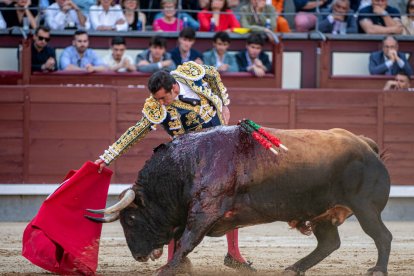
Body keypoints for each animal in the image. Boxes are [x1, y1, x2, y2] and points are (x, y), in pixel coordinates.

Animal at [86, 125, 392, 276]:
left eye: (131, 218)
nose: (138, 256)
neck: (186, 165)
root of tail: (366, 146)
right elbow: (181, 239)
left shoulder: (204, 211)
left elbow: (186, 240)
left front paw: (166, 270)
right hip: (321, 212)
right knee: (329, 242)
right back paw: (293, 268)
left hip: (365, 208)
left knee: (382, 236)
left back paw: (377, 270)